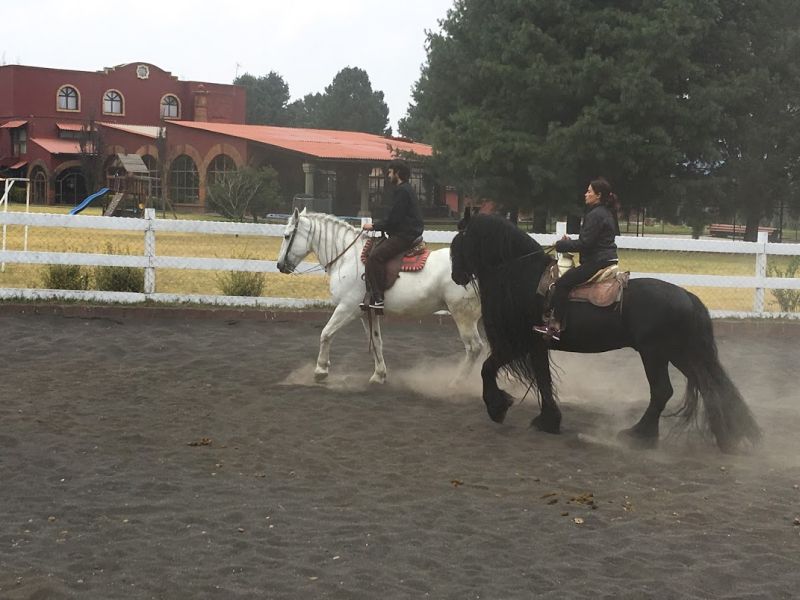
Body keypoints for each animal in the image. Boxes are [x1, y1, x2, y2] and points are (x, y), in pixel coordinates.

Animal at [278, 207, 484, 384]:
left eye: (287, 236)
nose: (280, 265)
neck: (347, 257)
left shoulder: (347, 308)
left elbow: (326, 333)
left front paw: (321, 370)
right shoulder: (365, 312)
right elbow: (377, 342)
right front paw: (379, 375)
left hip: (463, 315)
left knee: (474, 348)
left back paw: (457, 383)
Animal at [450, 209, 764, 452]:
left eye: (457, 244)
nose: (456, 275)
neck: (522, 278)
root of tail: (687, 296)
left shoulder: (519, 342)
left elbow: (488, 368)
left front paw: (497, 407)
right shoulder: (538, 345)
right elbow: (543, 380)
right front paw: (549, 421)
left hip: (655, 354)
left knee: (662, 391)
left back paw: (638, 435)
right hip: (680, 354)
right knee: (708, 387)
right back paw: (726, 438)